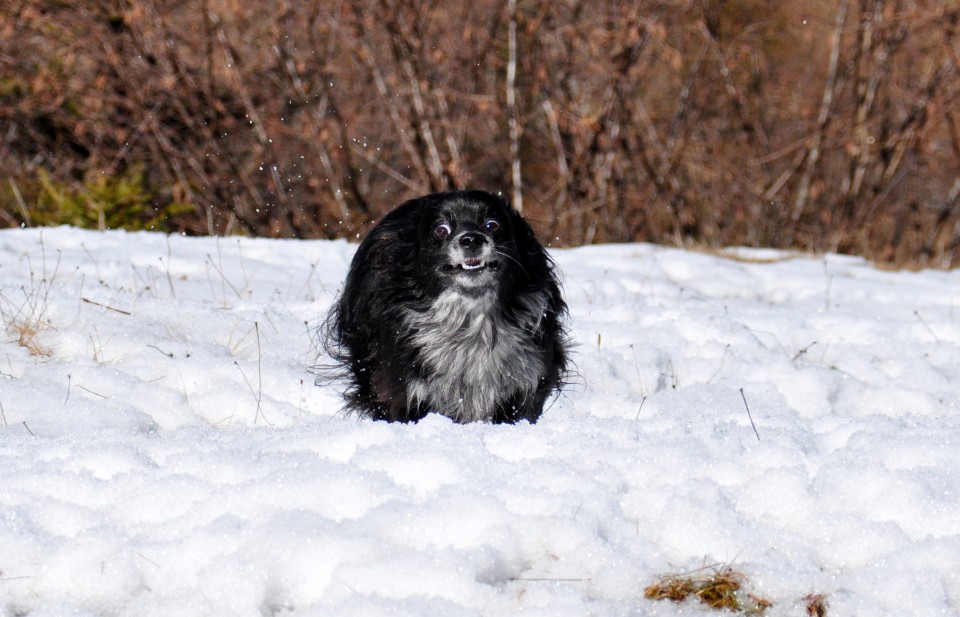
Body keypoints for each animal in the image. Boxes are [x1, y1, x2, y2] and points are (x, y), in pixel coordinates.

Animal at [322, 190, 568, 424]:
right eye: (441, 230)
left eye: (492, 225)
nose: (471, 239)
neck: (470, 320)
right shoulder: (405, 388)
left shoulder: (527, 380)